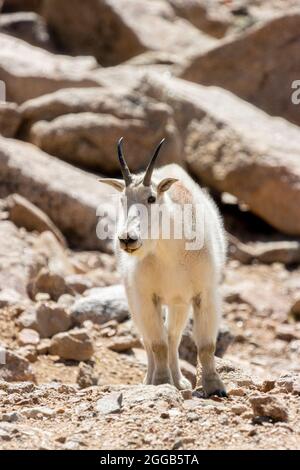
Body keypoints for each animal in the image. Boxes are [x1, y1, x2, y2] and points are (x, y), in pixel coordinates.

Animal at [99, 137, 227, 396]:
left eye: (151, 198)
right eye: (123, 199)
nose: (127, 239)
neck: (170, 254)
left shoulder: (204, 293)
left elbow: (206, 345)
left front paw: (215, 387)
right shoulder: (146, 296)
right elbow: (157, 344)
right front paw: (160, 382)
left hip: (179, 303)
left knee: (173, 336)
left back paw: (180, 381)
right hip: (134, 299)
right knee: (149, 339)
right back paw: (153, 380)